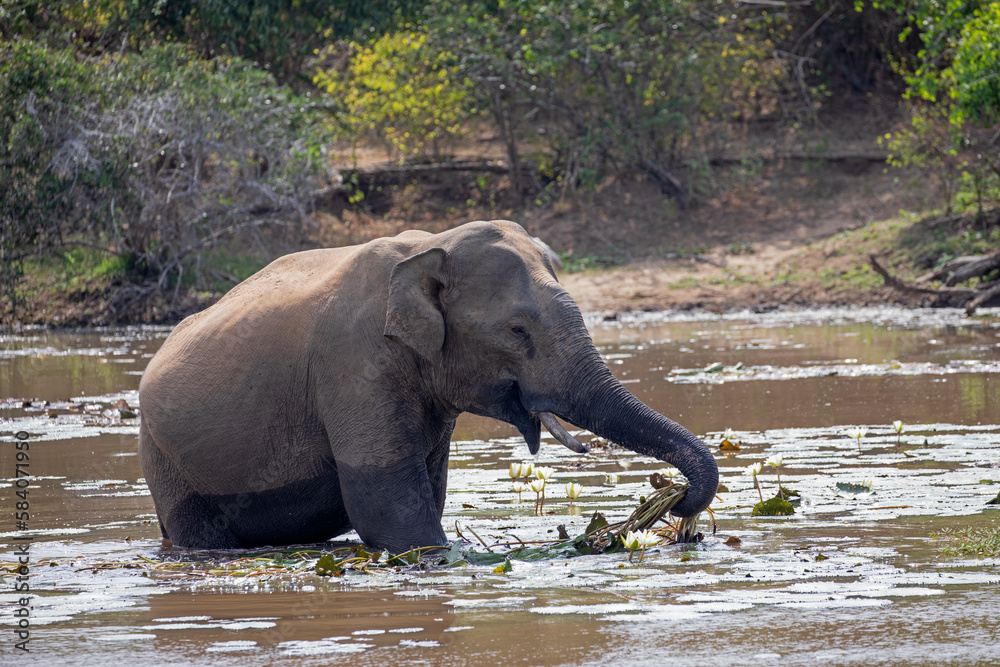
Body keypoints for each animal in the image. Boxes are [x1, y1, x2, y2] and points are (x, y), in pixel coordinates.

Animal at [138, 220, 719, 553]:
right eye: (517, 331)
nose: (677, 506)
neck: (428, 248)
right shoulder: (353, 366)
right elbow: (389, 508)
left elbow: (429, 489)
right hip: (162, 453)